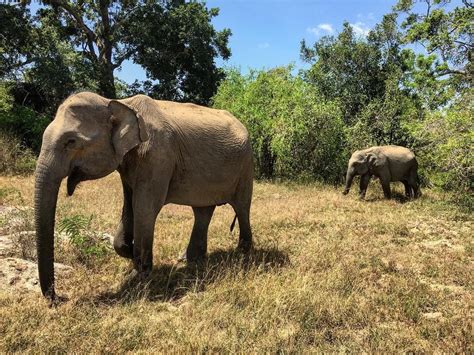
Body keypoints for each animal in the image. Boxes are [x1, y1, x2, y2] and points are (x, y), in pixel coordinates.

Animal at [35, 91, 254, 300]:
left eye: (71, 141)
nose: (59, 298)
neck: (117, 103)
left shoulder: (157, 157)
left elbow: (145, 207)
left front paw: (139, 275)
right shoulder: (129, 164)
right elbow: (129, 206)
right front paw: (131, 256)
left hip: (245, 165)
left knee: (242, 207)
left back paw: (243, 255)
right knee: (202, 211)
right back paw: (190, 260)